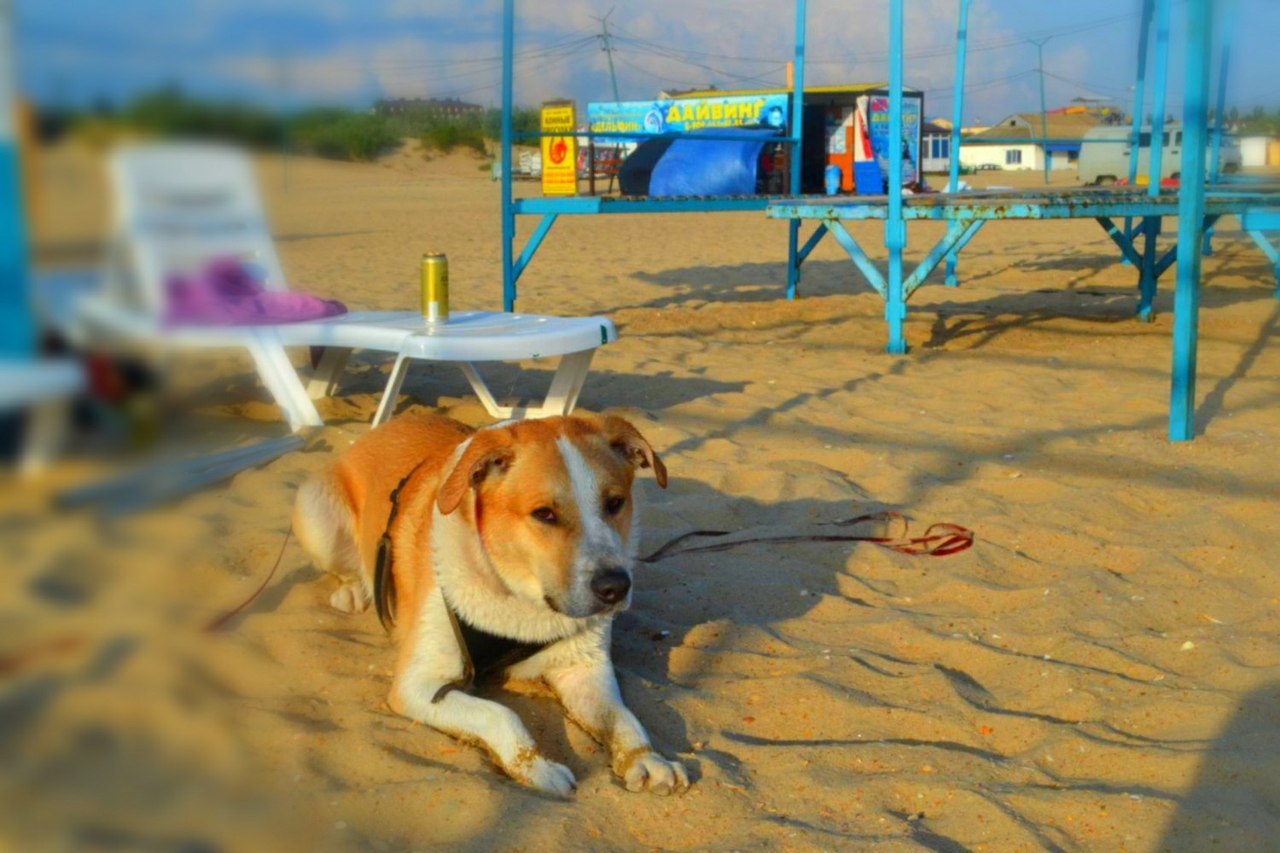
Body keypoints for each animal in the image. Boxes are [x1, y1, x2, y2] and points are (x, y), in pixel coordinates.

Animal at [293, 412, 691, 799]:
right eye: (544, 514)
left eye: (615, 503)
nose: (615, 587)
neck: (518, 600)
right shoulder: (418, 685)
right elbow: (500, 714)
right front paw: (539, 768)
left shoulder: (583, 667)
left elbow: (621, 716)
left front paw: (647, 758)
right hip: (317, 518)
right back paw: (352, 591)